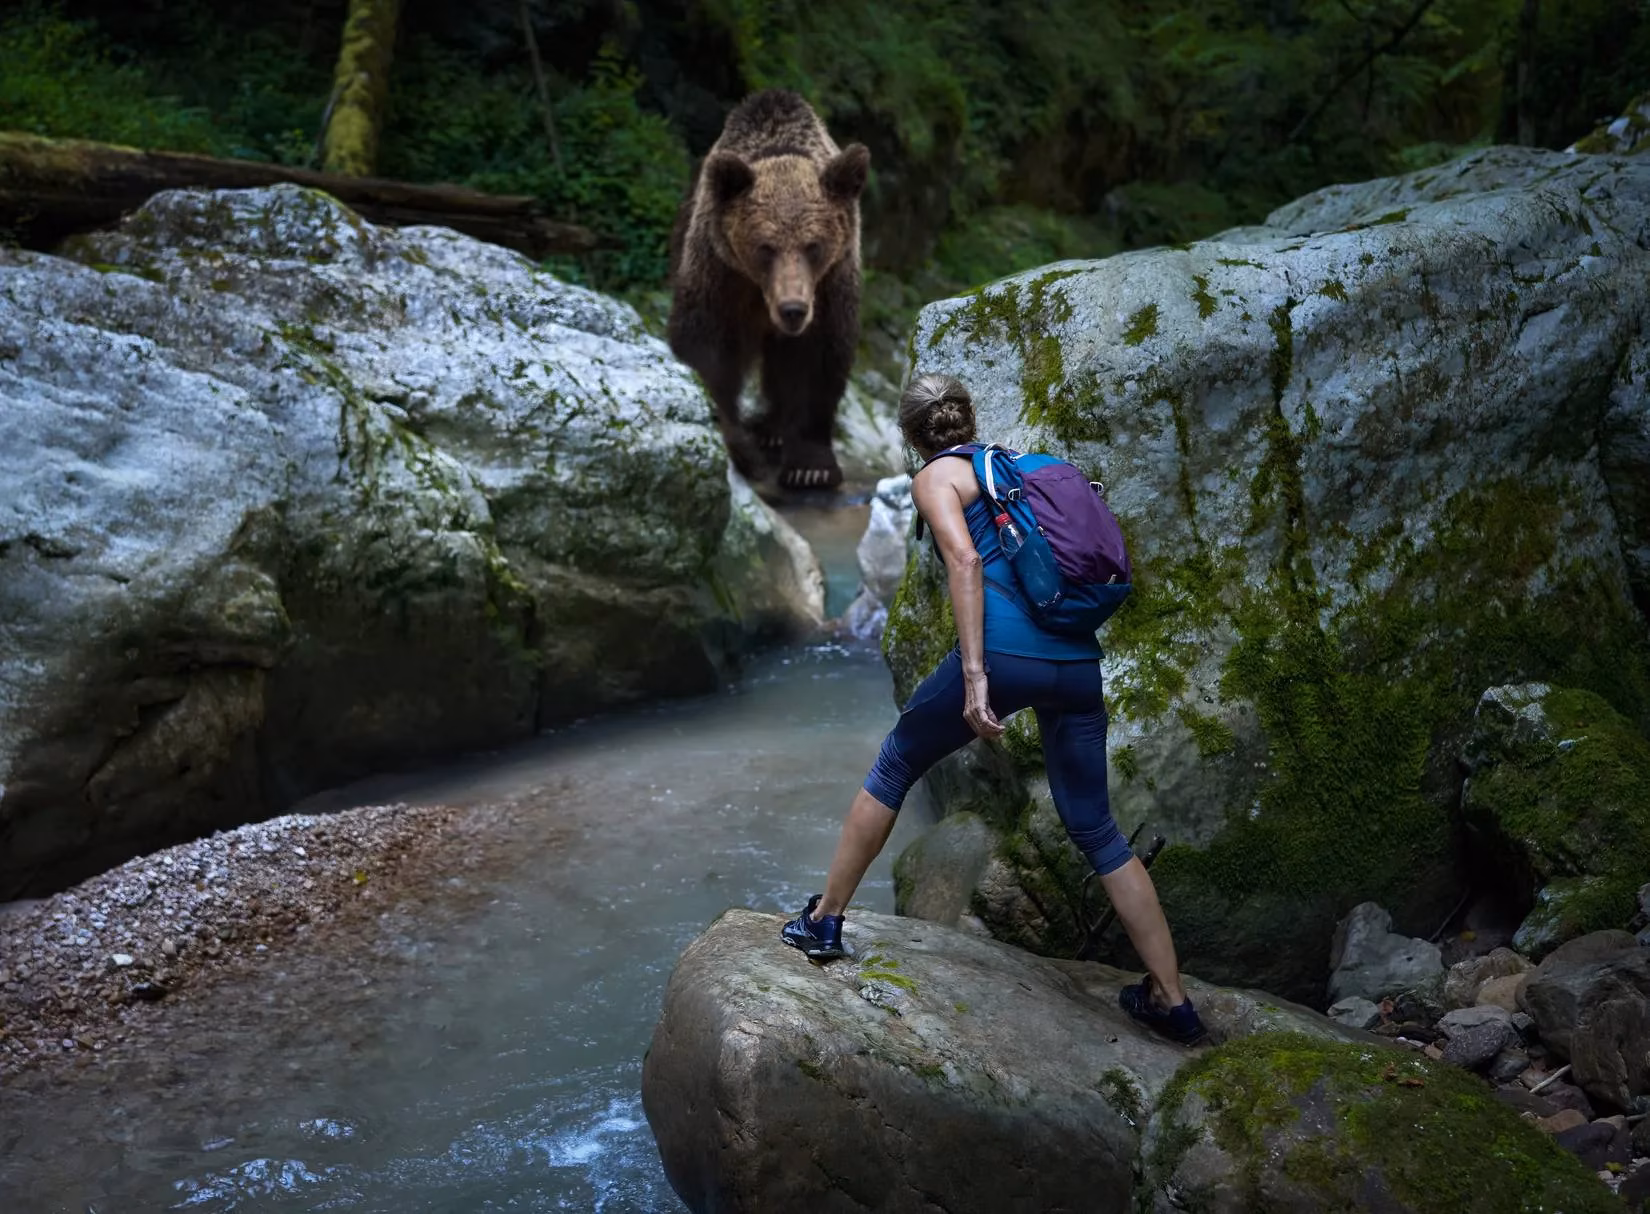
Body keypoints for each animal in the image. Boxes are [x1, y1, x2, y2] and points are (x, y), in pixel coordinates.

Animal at [666, 89, 870, 491]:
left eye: (813, 245)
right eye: (765, 247)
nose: (792, 309)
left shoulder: (830, 284)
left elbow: (816, 359)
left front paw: (810, 468)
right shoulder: (720, 272)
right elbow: (707, 348)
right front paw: (739, 447)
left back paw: (772, 429)